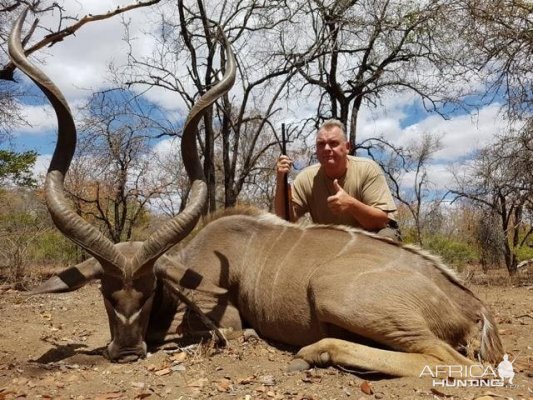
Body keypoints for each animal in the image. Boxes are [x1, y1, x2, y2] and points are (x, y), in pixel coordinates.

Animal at [11, 11, 502, 376]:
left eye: (150, 290)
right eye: (105, 292)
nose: (128, 352)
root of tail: (474, 308)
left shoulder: (221, 318)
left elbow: (218, 333)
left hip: (338, 294)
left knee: (456, 362)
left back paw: (316, 352)